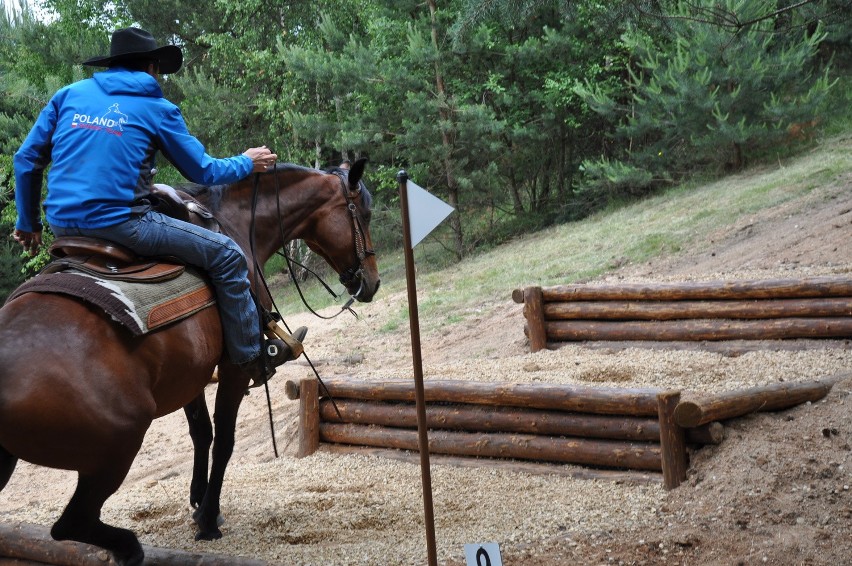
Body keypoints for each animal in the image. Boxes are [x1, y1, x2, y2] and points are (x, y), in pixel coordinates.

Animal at [0, 159, 380, 566]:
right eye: (364, 214)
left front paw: (199, 498)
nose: (371, 282)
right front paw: (209, 518)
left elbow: (202, 432)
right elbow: (224, 439)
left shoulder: (189, 375)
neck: (234, 223)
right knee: (70, 524)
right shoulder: (233, 368)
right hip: (117, 447)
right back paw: (129, 547)